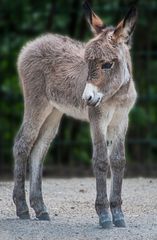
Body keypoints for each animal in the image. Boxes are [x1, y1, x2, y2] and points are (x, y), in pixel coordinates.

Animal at [12, 0, 137, 228]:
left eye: (107, 64)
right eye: (87, 62)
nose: (86, 98)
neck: (117, 94)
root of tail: (34, 43)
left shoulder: (121, 120)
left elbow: (118, 161)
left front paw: (118, 215)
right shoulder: (97, 118)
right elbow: (101, 160)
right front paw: (104, 215)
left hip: (54, 112)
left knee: (38, 150)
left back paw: (40, 209)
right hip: (37, 104)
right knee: (22, 144)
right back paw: (22, 208)